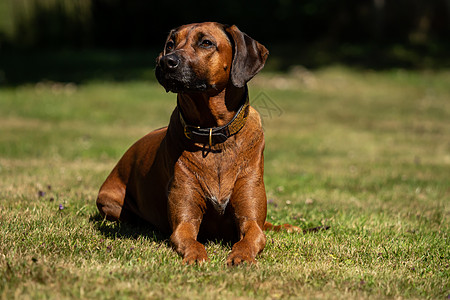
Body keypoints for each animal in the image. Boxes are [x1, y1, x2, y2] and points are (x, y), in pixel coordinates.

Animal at [96, 21, 298, 264]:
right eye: (170, 44)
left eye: (206, 43)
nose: (165, 61)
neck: (213, 136)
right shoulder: (184, 221)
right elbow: (188, 238)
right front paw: (196, 256)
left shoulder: (250, 217)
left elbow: (253, 236)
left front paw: (241, 256)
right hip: (109, 202)